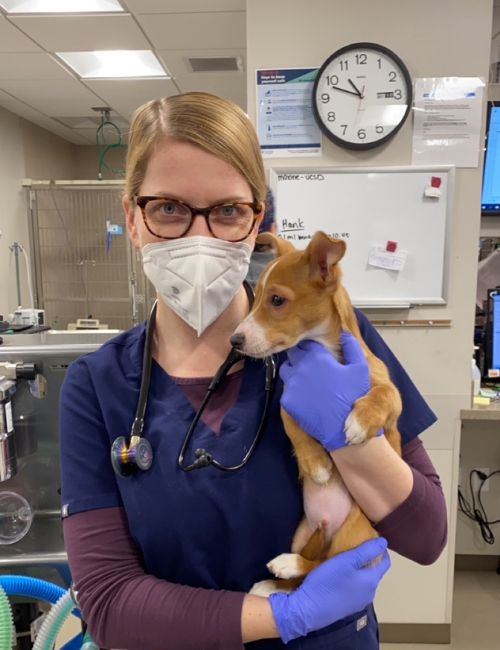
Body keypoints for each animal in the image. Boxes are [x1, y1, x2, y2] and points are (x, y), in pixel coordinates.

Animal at [230, 232, 402, 592]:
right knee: (309, 574)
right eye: (256, 300)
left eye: (277, 300)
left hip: (354, 535)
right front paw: (317, 465)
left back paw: (287, 567)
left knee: (324, 567)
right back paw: (276, 580)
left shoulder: (392, 395)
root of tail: (325, 524)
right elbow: (291, 421)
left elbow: (382, 395)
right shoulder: (291, 397)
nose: (234, 340)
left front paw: (361, 422)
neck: (324, 351)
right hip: (302, 532)